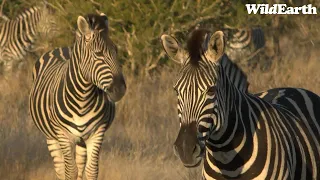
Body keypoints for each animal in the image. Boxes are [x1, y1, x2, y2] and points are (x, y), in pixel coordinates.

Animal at [29, 13, 126, 180]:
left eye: (116, 51)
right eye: (98, 54)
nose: (120, 89)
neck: (83, 99)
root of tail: (61, 48)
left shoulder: (97, 132)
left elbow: (91, 170)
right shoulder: (63, 135)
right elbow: (70, 171)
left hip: (81, 140)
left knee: (80, 166)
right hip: (51, 137)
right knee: (60, 168)